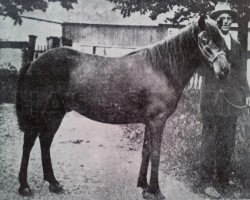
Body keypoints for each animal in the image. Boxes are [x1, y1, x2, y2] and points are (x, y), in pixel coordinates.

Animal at [15, 16, 230, 199]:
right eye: (204, 39)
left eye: (222, 39)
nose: (224, 70)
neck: (162, 68)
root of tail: (34, 62)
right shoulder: (157, 121)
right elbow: (156, 153)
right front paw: (156, 191)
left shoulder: (149, 121)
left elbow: (146, 151)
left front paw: (144, 186)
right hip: (39, 113)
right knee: (29, 143)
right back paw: (24, 186)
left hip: (55, 113)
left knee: (45, 141)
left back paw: (53, 183)